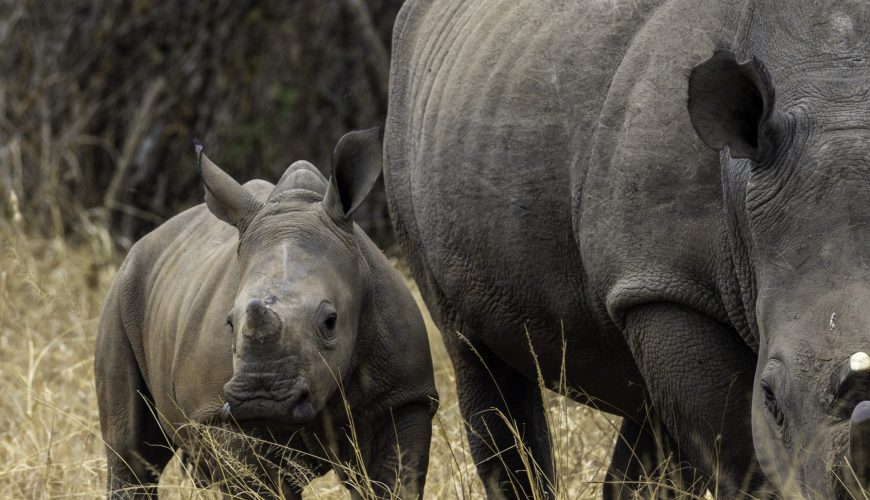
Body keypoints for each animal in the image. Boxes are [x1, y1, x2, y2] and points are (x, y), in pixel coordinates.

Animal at [95, 128, 438, 499]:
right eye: (229, 323)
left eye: (330, 322)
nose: (263, 399)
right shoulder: (220, 417)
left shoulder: (402, 397)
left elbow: (391, 480)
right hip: (123, 291)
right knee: (132, 451)